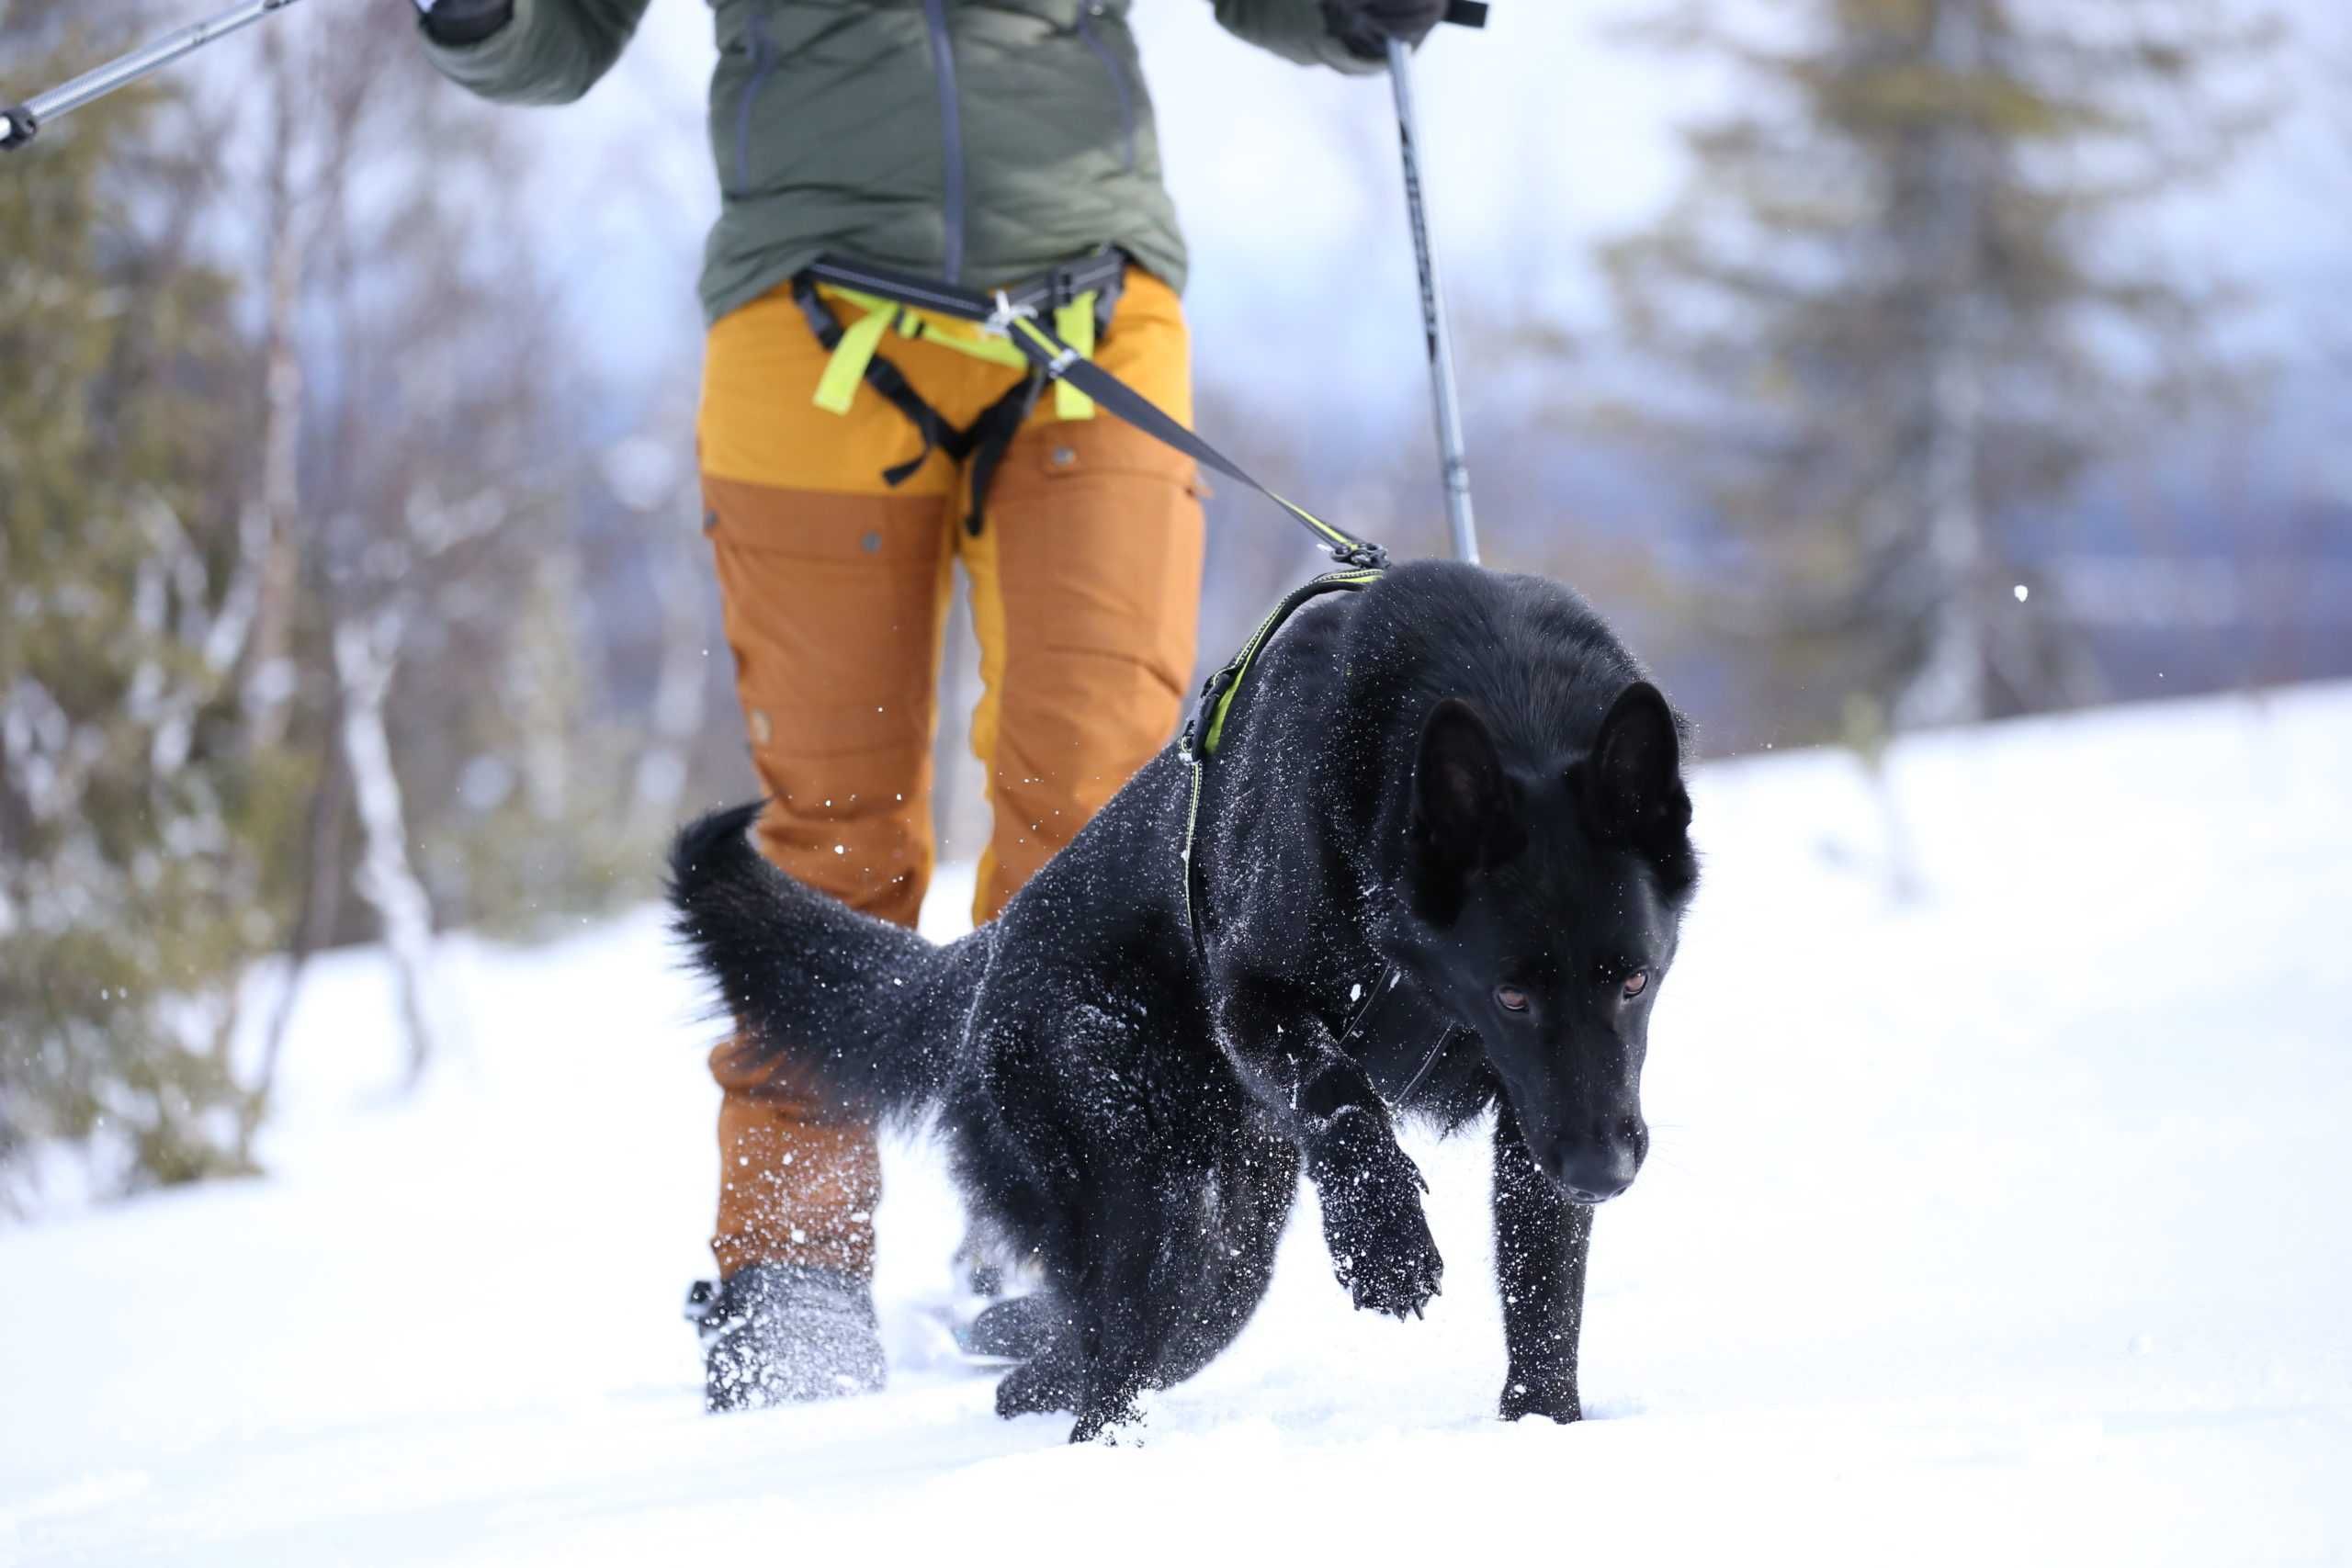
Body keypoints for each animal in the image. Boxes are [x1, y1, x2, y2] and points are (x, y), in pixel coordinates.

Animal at [673, 564, 1702, 1448]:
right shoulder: (1251, 997)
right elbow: (1341, 1094)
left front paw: (1542, 1430)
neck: (1508, 698)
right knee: (1123, 1348)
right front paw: (1385, 1242)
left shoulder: (1540, 1122)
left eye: (1636, 981)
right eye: (1511, 994)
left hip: (1229, 1245)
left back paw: (1025, 1364)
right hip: (1145, 1204)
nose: (1605, 1171)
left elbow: (1545, 1294)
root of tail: (991, 952)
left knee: (1135, 1343)